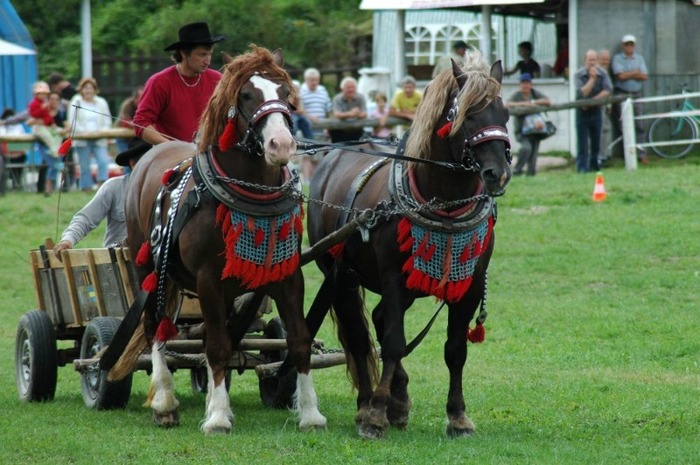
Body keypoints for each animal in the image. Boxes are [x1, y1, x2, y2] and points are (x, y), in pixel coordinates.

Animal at [123, 45, 326, 434]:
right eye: (246, 95)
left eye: (285, 93)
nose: (281, 144)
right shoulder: (208, 280)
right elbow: (216, 345)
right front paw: (217, 416)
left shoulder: (288, 275)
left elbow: (299, 339)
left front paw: (310, 413)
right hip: (147, 269)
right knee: (156, 328)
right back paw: (165, 402)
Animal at [308, 56, 512, 436]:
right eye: (466, 115)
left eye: (504, 112)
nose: (498, 173)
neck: (443, 203)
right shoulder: (392, 277)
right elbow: (392, 343)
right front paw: (375, 414)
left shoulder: (470, 283)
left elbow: (455, 349)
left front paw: (457, 416)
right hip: (341, 277)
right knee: (360, 337)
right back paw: (367, 403)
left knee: (378, 320)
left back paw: (398, 400)